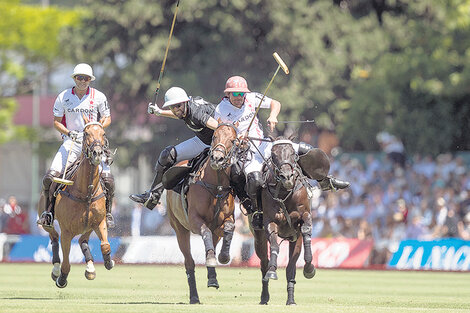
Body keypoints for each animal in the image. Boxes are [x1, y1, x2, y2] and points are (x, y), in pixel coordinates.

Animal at [37, 120, 114, 288]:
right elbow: (66, 263)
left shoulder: (99, 222)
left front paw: (108, 261)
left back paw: (90, 268)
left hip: (89, 226)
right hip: (46, 221)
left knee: (82, 239)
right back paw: (56, 270)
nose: (97, 153)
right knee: (54, 237)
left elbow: (105, 245)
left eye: (103, 133)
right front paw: (61, 278)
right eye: (86, 133)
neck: (86, 193)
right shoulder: (66, 231)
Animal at [166, 123, 239, 302]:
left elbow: (229, 228)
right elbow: (205, 231)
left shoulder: (224, 221)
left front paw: (224, 256)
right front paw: (213, 259)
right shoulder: (194, 220)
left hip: (213, 232)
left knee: (211, 245)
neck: (216, 186)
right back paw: (194, 297)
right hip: (179, 229)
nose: (217, 159)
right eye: (214, 137)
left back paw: (212, 277)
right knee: (189, 261)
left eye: (233, 140)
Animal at [253, 138, 316, 304]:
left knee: (290, 268)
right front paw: (272, 271)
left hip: (295, 240)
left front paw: (309, 267)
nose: (287, 177)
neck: (284, 192)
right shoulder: (270, 221)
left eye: (293, 153)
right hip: (258, 239)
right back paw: (264, 296)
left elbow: (306, 230)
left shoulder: (303, 216)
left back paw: (291, 300)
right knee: (264, 262)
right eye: (274, 155)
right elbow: (274, 245)